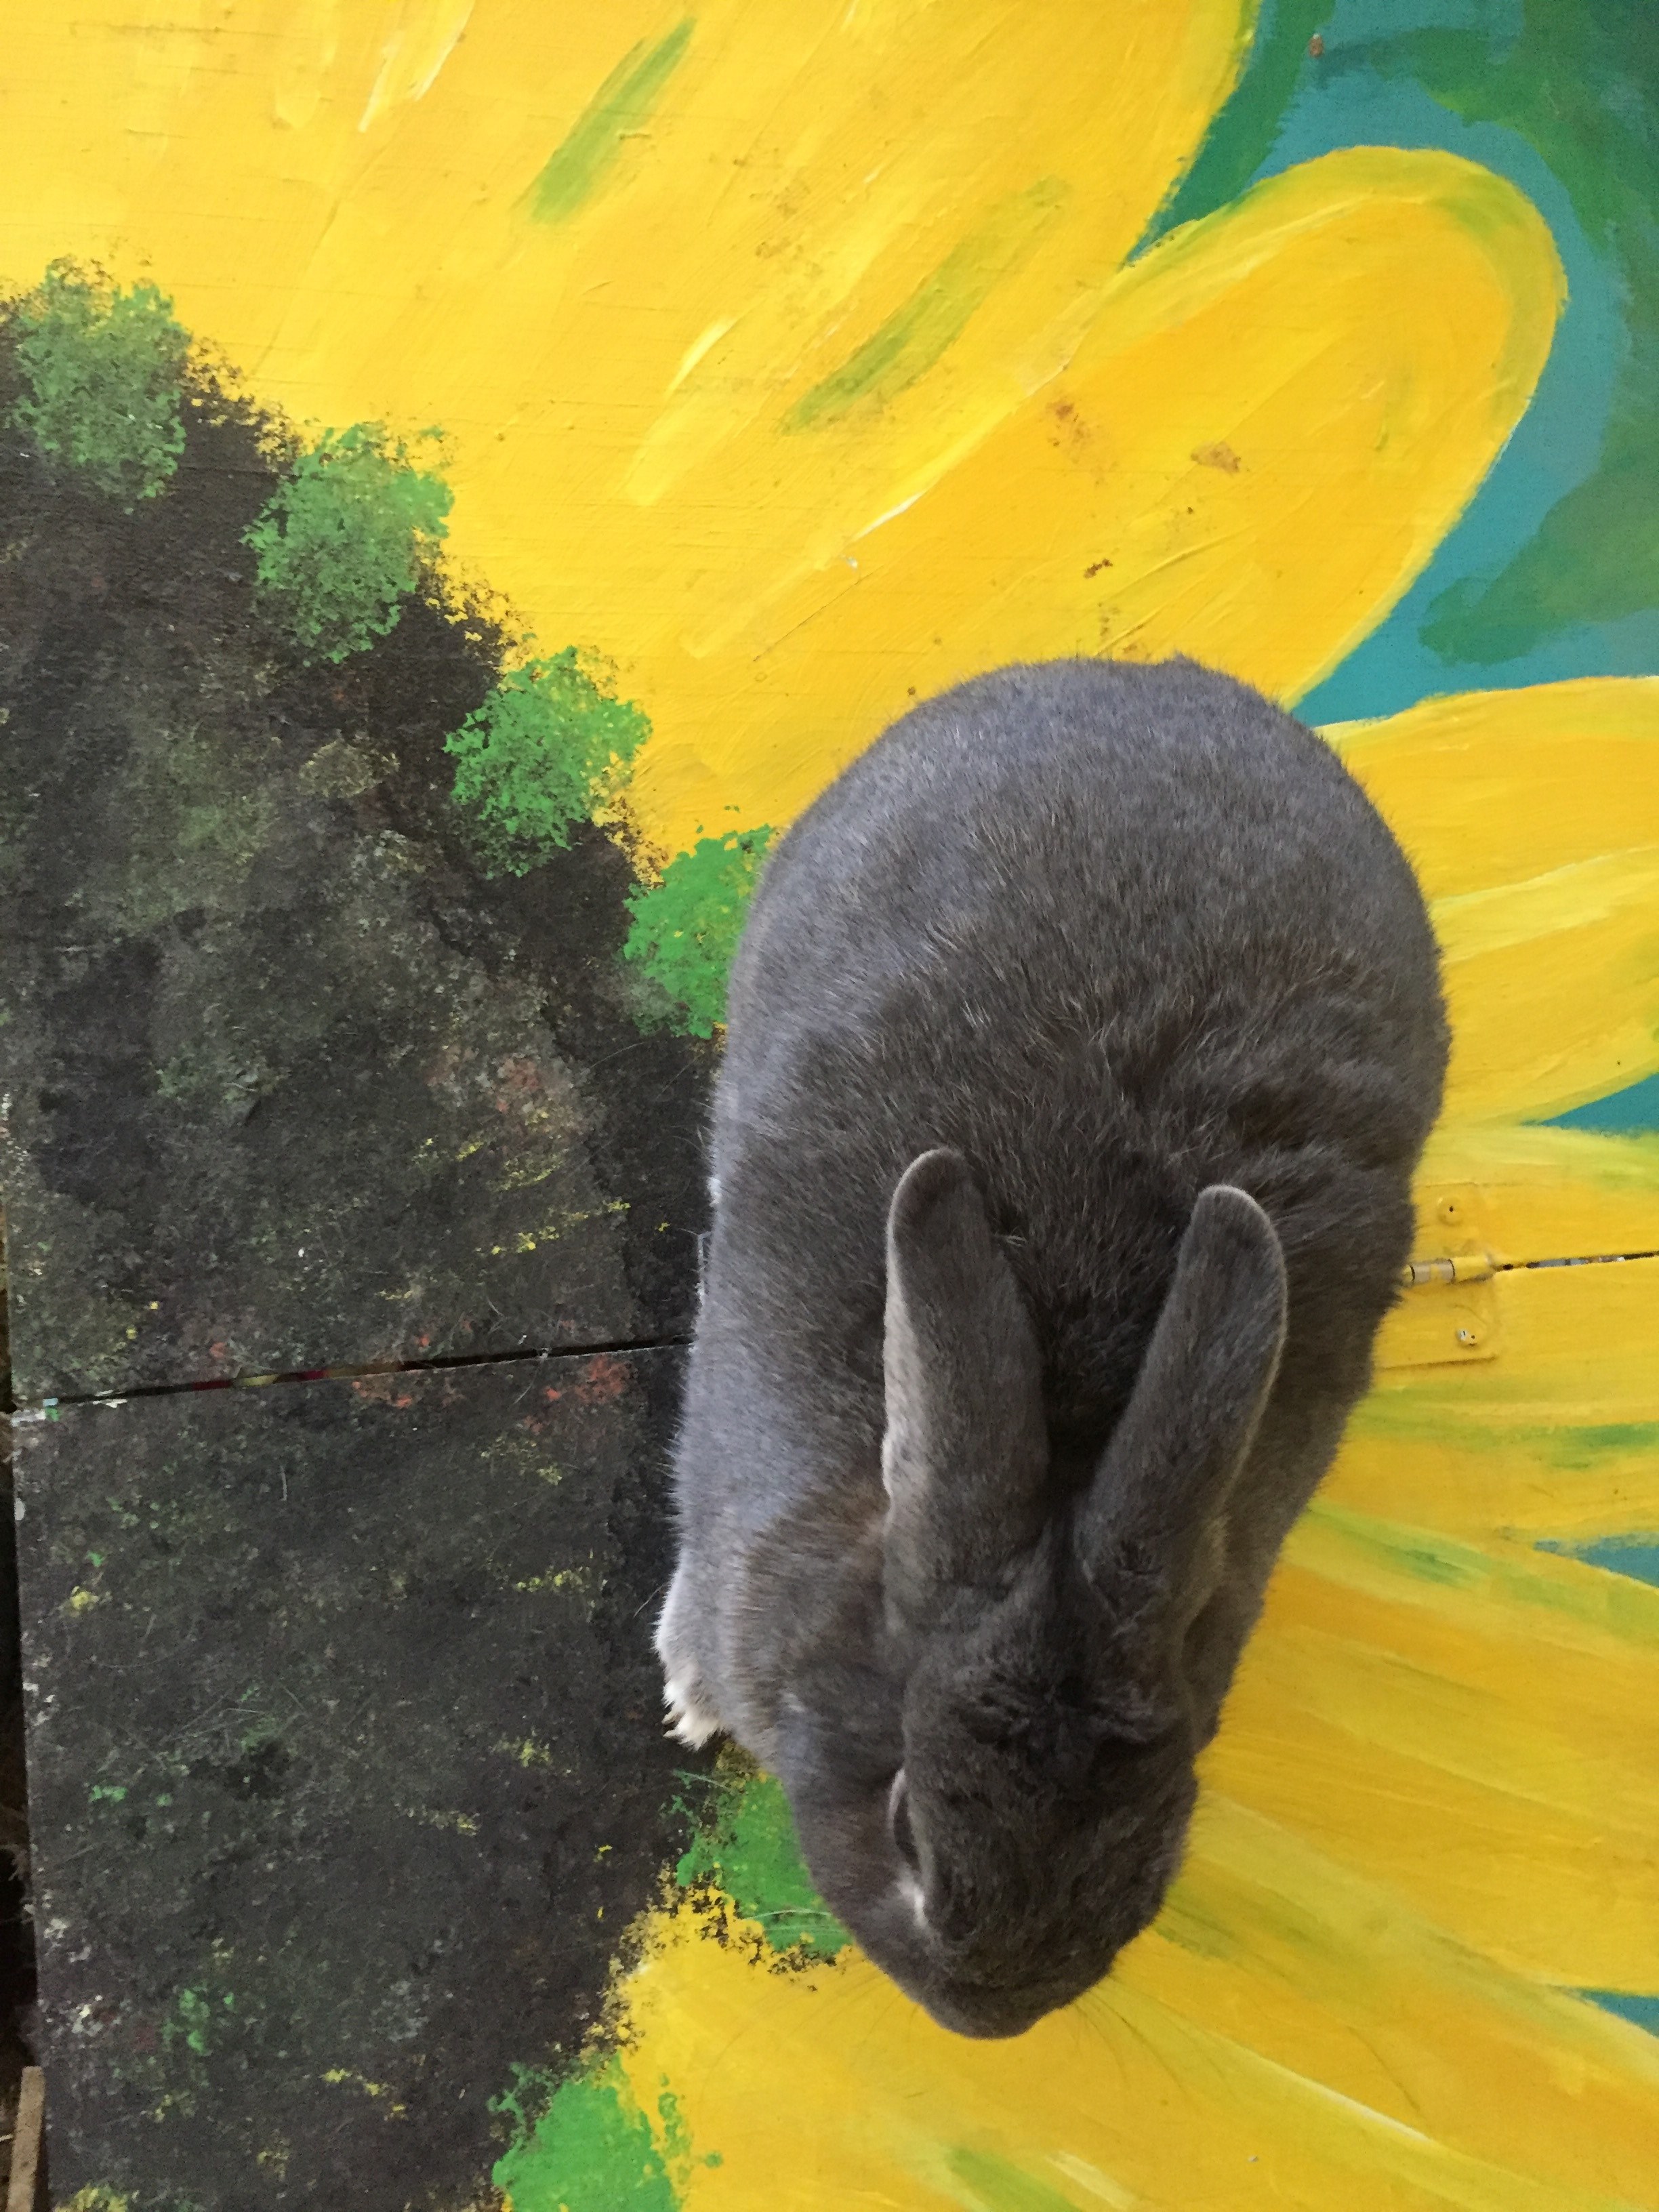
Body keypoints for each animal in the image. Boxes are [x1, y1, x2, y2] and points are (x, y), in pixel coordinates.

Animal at [657, 655, 1447, 2039]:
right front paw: (689, 1695)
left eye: (1160, 1822)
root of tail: (1126, 677)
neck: (1067, 1472)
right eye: (908, 1826)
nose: (993, 2012)